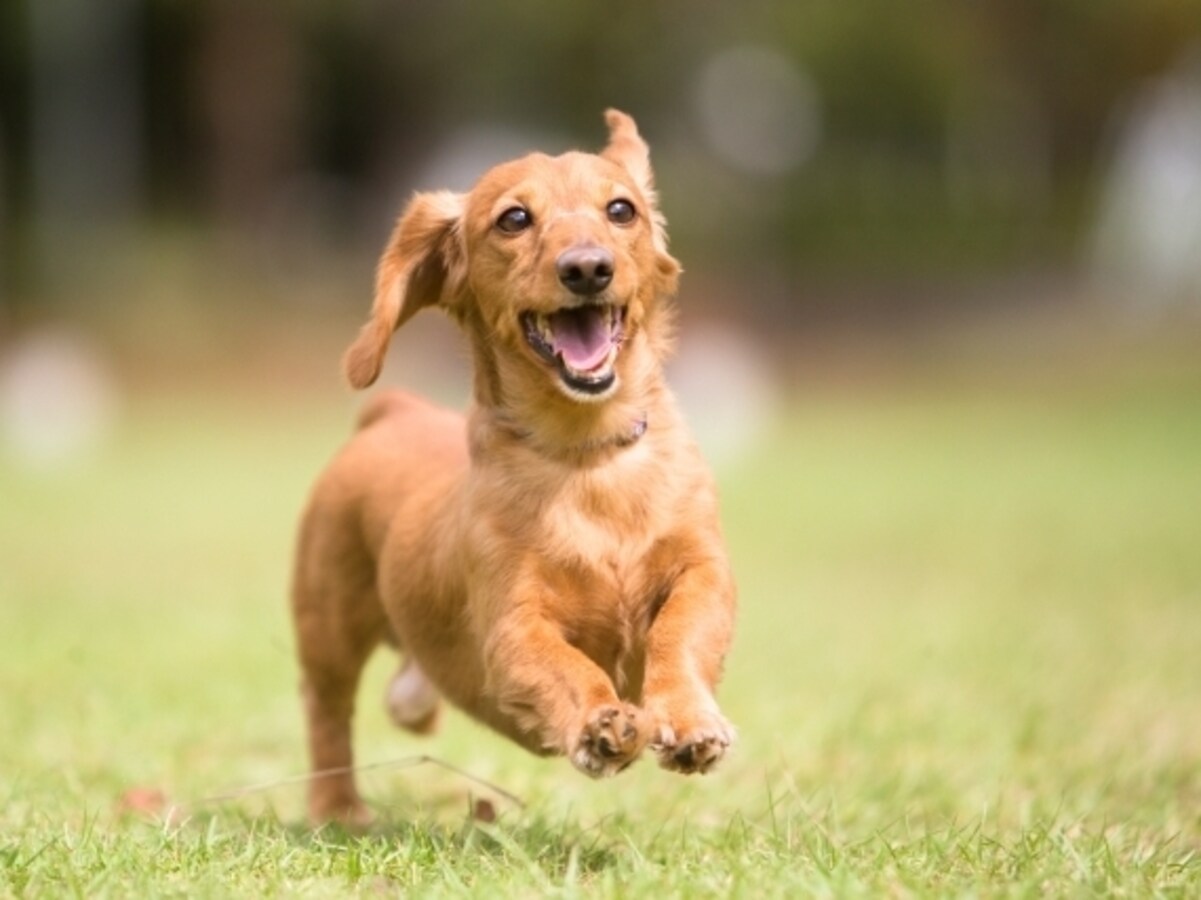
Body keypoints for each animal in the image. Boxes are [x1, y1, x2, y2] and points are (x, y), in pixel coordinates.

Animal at [295, 110, 735, 821]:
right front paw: (600, 724)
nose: (587, 268)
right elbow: (567, 667)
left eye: (621, 209)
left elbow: (682, 631)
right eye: (514, 219)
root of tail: (394, 409)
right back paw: (338, 808)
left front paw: (690, 719)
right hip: (328, 625)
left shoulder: (703, 571)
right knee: (327, 709)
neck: (587, 458)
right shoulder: (512, 627)